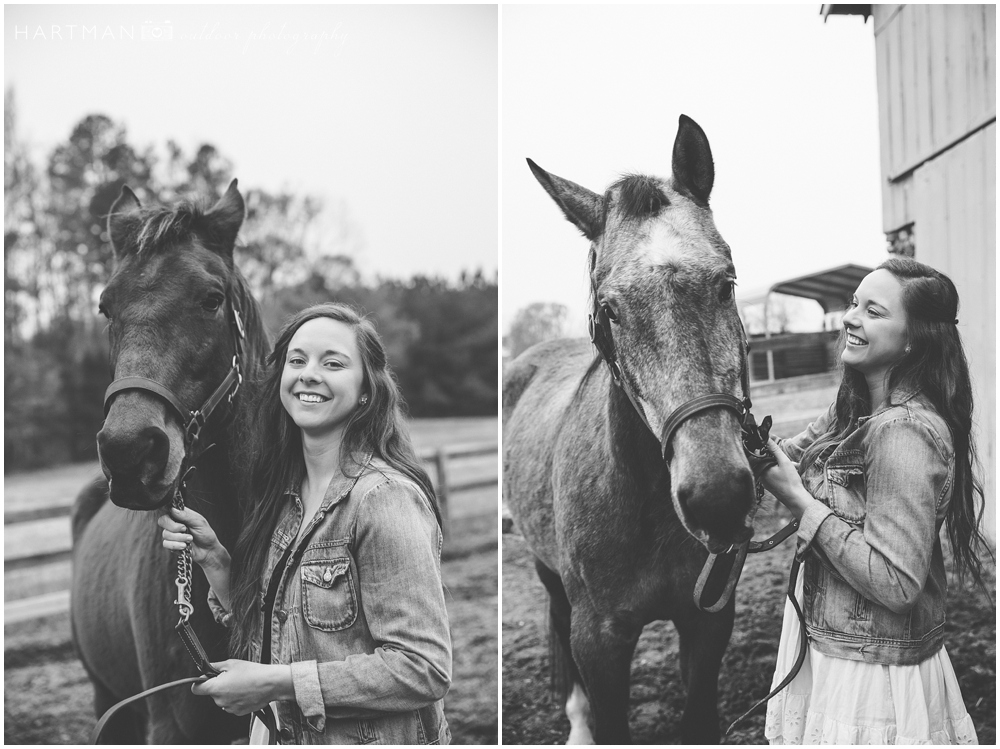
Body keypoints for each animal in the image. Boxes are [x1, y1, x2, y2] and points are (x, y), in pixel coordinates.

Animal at [508, 117, 756, 744]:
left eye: (726, 283)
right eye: (609, 309)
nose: (717, 496)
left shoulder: (708, 621)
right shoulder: (600, 642)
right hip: (548, 575)